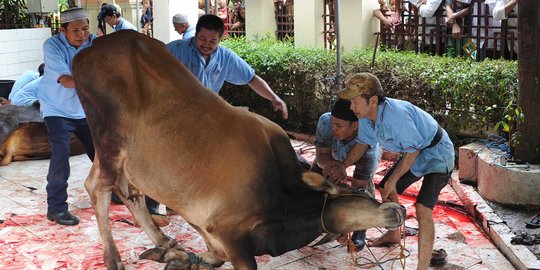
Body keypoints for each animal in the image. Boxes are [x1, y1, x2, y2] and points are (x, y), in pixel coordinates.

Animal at [71, 30, 402, 268]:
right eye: (360, 195)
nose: (397, 209)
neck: (284, 208)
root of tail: (89, 49)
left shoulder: (212, 235)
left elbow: (210, 258)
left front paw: (181, 258)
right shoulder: (230, 234)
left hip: (126, 158)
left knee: (131, 193)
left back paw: (167, 244)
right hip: (109, 138)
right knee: (99, 187)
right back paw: (114, 259)